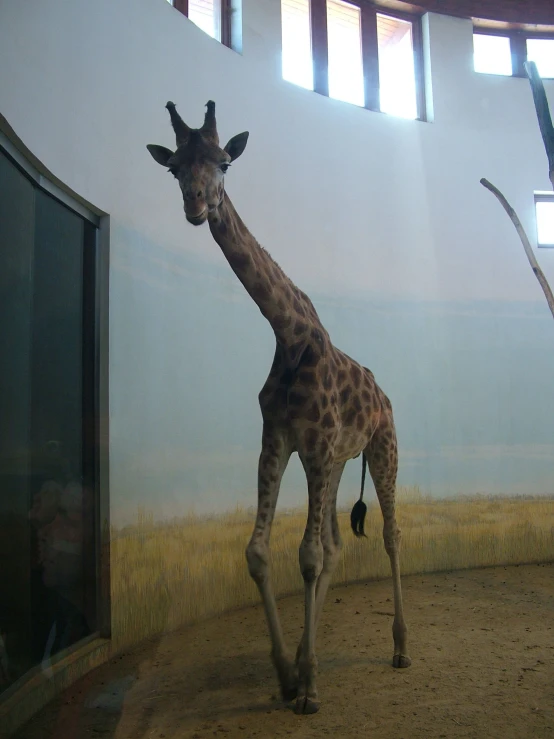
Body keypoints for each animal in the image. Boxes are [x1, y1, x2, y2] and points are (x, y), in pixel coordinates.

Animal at [147, 101, 410, 712]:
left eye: (224, 162)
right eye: (174, 169)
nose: (197, 204)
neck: (288, 336)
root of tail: (383, 394)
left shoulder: (312, 447)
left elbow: (306, 557)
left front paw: (308, 685)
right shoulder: (279, 443)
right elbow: (261, 553)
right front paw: (289, 674)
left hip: (382, 449)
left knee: (389, 536)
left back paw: (400, 648)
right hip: (338, 464)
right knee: (336, 545)